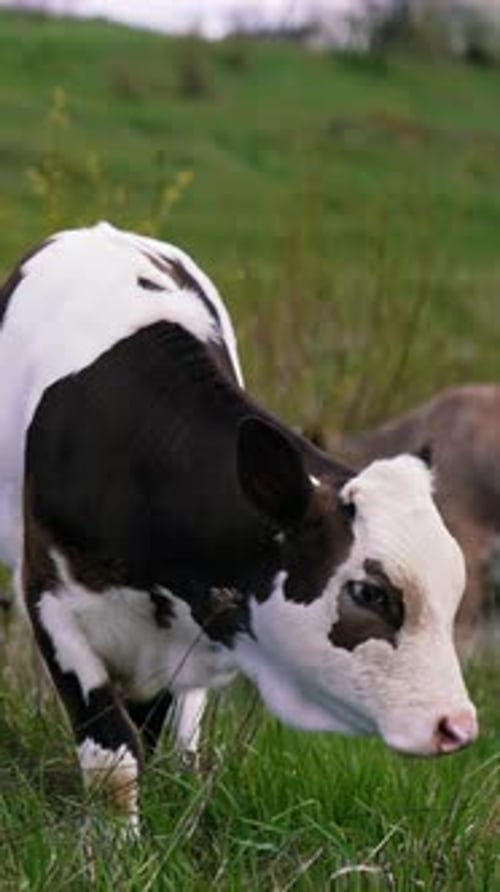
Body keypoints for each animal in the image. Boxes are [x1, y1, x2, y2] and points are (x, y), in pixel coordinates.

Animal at [0, 223, 477, 833]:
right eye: (370, 593)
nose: (457, 726)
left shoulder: (183, 637)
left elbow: (150, 732)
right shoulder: (47, 594)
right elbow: (112, 755)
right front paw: (117, 843)